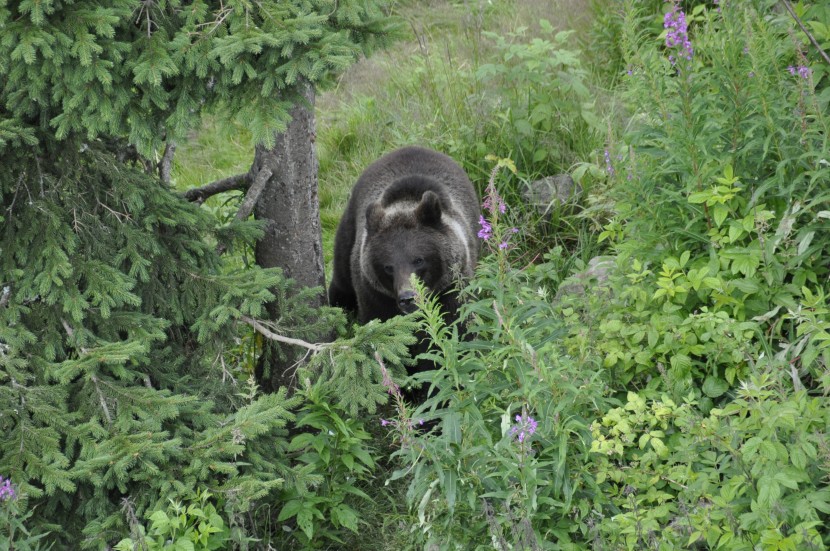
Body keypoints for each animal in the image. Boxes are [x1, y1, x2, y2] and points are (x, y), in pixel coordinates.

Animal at [326, 147, 480, 328]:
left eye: (419, 260)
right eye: (388, 267)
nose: (408, 298)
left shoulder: (453, 283)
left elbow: (458, 320)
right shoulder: (373, 293)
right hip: (349, 227)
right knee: (342, 279)